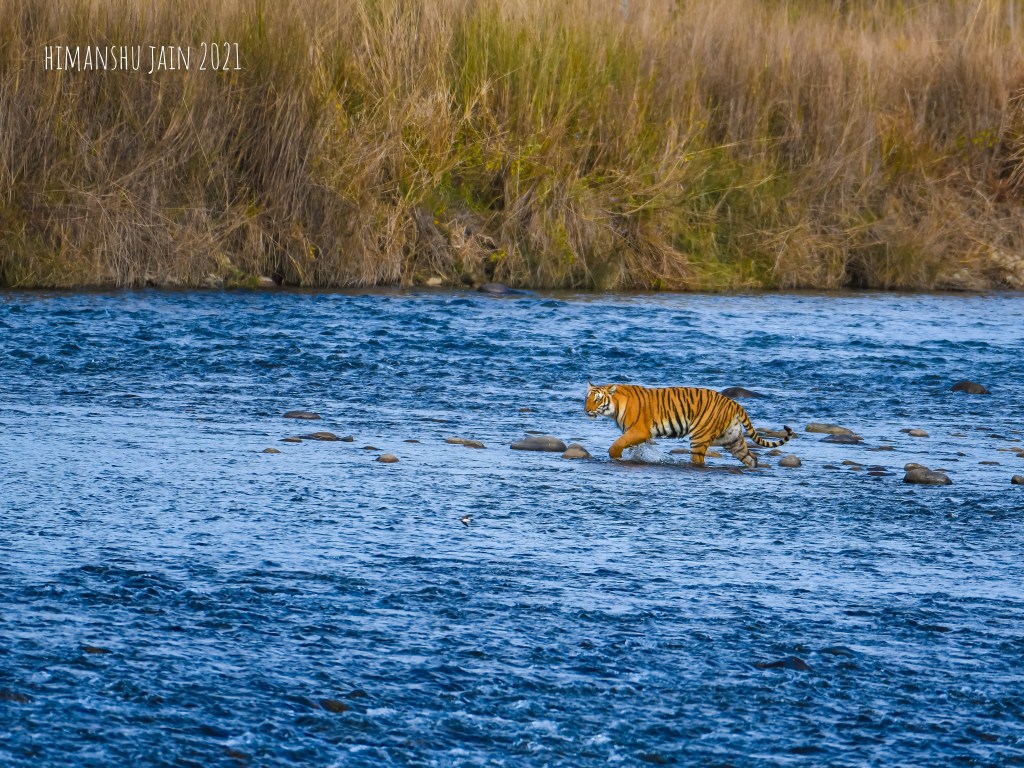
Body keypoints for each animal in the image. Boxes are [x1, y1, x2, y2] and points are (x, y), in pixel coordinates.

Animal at [585, 383, 793, 467]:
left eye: (597, 399)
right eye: (587, 398)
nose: (586, 410)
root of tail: (734, 403)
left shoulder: (639, 431)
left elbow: (617, 444)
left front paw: (615, 457)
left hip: (699, 438)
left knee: (699, 460)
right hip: (732, 439)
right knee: (751, 458)